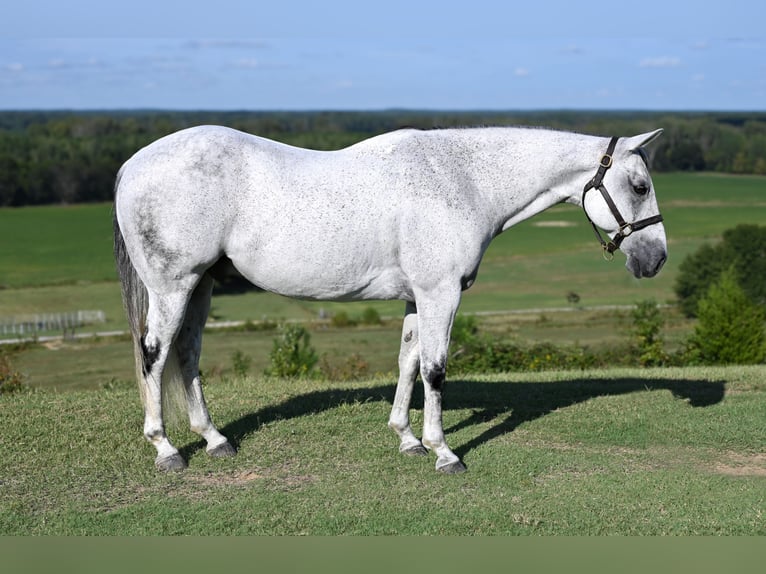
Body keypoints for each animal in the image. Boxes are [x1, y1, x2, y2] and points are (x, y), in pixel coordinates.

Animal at [112, 125, 664, 472]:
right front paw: (443, 452)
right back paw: (166, 449)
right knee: (154, 354)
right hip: (174, 286)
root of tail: (132, 165)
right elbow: (435, 370)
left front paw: (407, 439)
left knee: (187, 354)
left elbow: (407, 362)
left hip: (201, 285)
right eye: (639, 186)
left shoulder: (418, 298)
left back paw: (215, 439)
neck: (462, 180)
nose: (655, 259)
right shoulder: (441, 293)